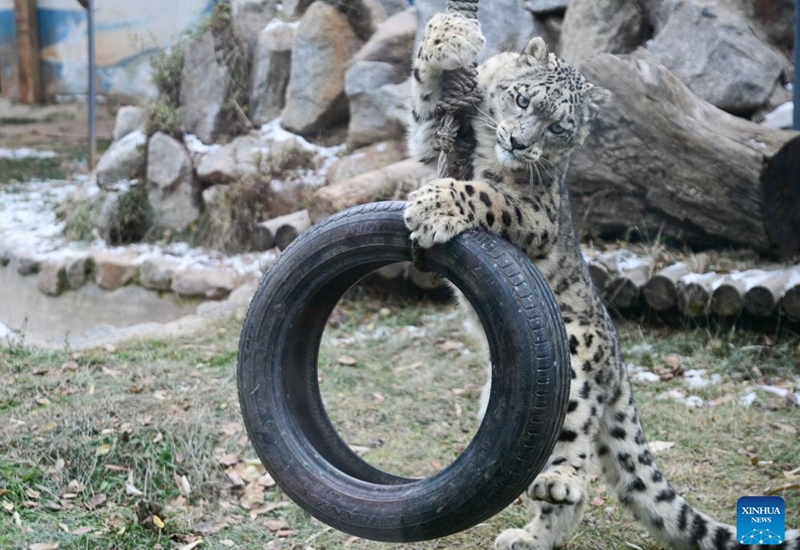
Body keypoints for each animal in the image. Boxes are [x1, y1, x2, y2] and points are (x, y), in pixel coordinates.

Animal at [404, 11, 799, 550]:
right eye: (522, 99)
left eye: (558, 127)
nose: (519, 143)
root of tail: (619, 361)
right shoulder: (434, 145)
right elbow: (423, 100)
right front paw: (449, 36)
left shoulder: (536, 209)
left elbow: (486, 195)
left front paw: (433, 205)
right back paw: (529, 536)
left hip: (575, 357)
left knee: (578, 457)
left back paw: (556, 487)